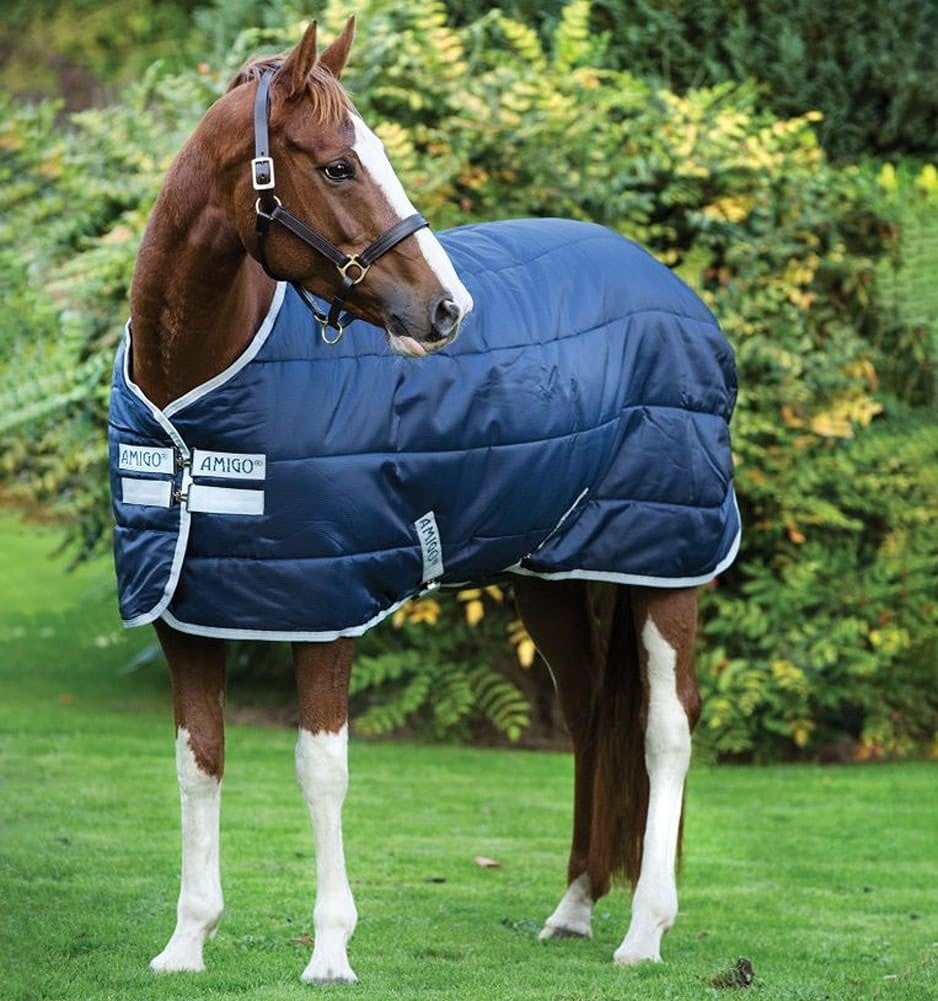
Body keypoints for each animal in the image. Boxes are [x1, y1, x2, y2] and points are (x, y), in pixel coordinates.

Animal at [110, 17, 738, 985]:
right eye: (338, 165)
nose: (447, 309)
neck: (192, 409)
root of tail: (675, 292)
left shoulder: (325, 608)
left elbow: (321, 770)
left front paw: (330, 950)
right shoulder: (185, 607)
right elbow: (198, 762)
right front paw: (186, 942)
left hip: (669, 563)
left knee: (666, 728)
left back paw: (644, 929)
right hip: (552, 577)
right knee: (594, 715)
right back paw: (574, 907)